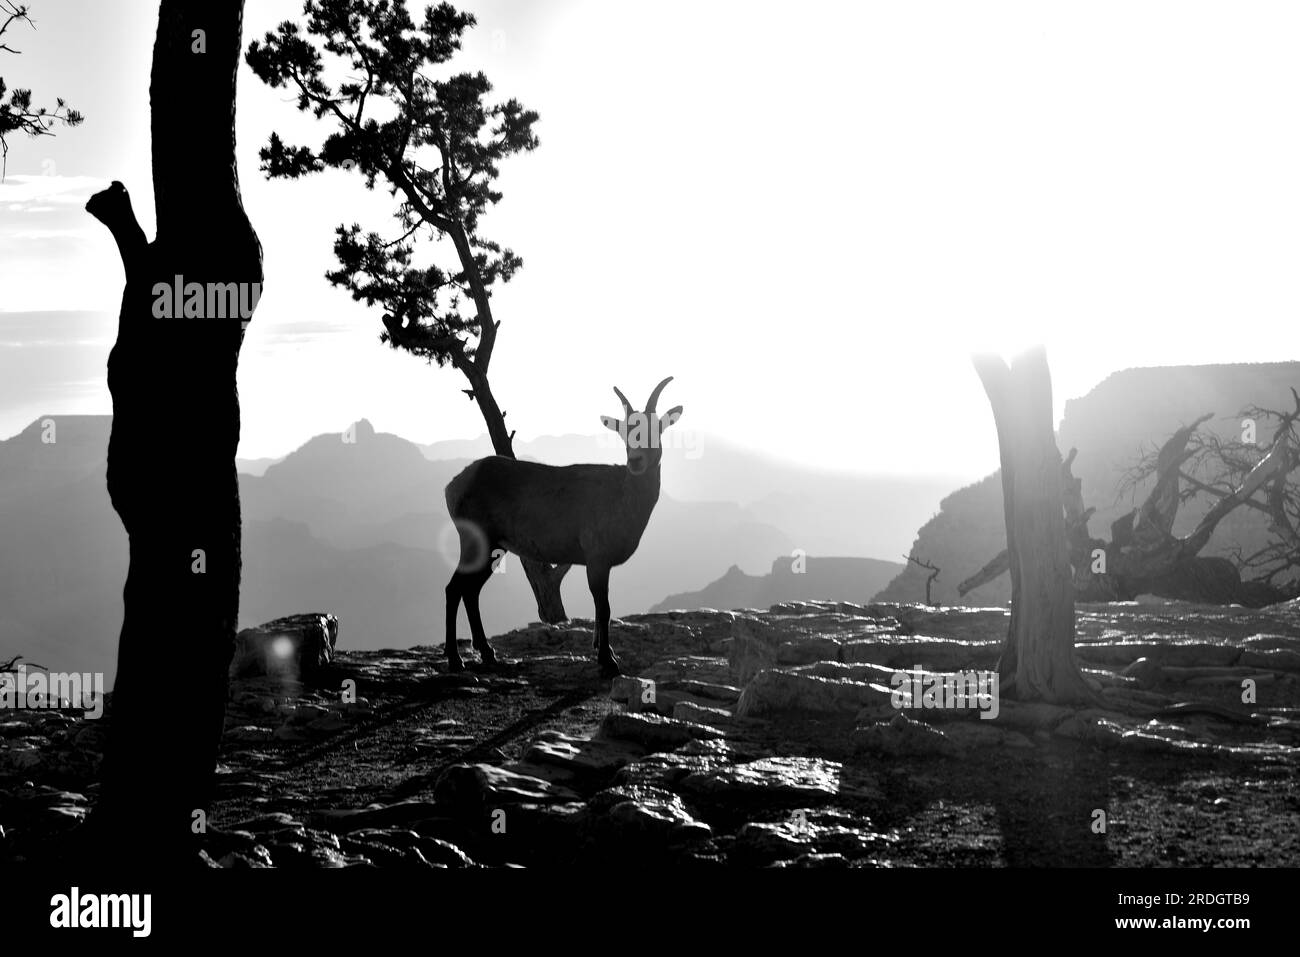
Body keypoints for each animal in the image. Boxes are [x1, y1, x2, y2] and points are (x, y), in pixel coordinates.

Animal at [444, 377, 686, 676]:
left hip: (494, 547)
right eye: (625, 432)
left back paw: (487, 653)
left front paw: (603, 653)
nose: (636, 460)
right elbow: (603, 608)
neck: (621, 495)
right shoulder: (596, 557)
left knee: (470, 590)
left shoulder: (599, 561)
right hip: (477, 540)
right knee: (454, 588)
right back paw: (456, 659)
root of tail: (454, 486)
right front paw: (608, 661)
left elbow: (601, 610)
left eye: (656, 428)